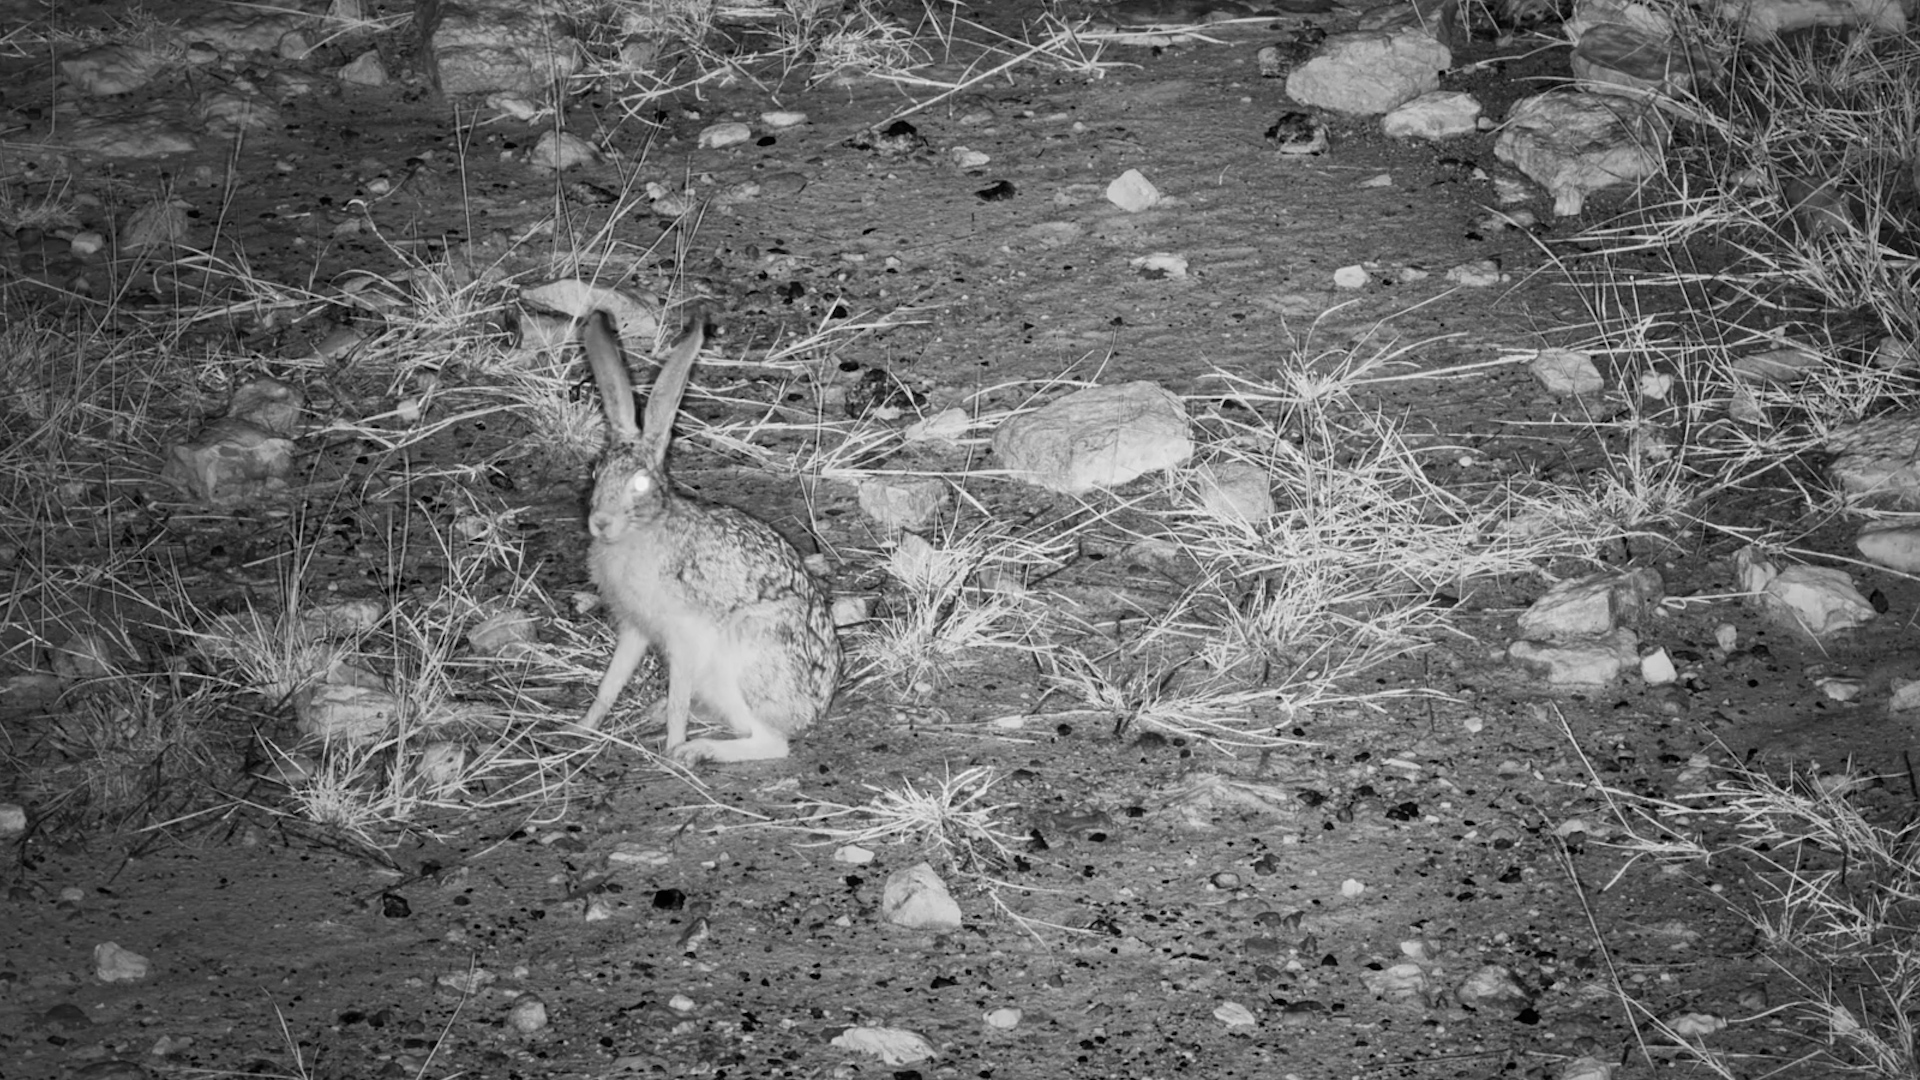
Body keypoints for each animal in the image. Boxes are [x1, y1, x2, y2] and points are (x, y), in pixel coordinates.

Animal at [578, 305, 842, 764]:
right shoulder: (635, 629)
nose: (601, 523)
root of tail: (813, 713)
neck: (645, 530)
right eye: (596, 472)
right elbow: (610, 683)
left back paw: (697, 749)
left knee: (772, 743)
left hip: (743, 660)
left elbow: (678, 697)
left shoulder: (684, 635)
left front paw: (672, 747)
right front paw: (583, 727)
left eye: (641, 484)